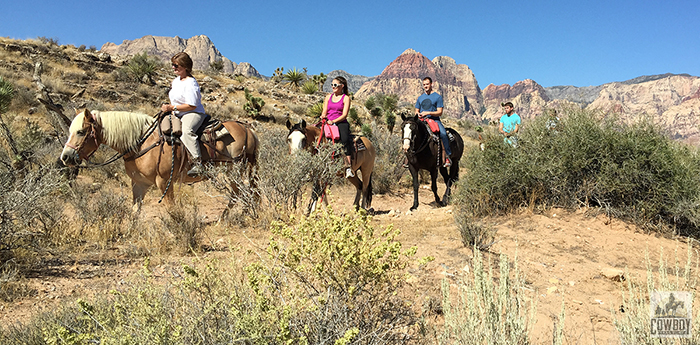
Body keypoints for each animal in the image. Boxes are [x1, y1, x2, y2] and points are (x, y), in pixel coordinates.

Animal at [60, 109, 260, 212]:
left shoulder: (164, 182)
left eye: (81, 132)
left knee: (239, 193)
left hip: (235, 170)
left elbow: (171, 209)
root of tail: (248, 129)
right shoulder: (139, 183)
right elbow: (135, 211)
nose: (65, 157)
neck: (141, 142)